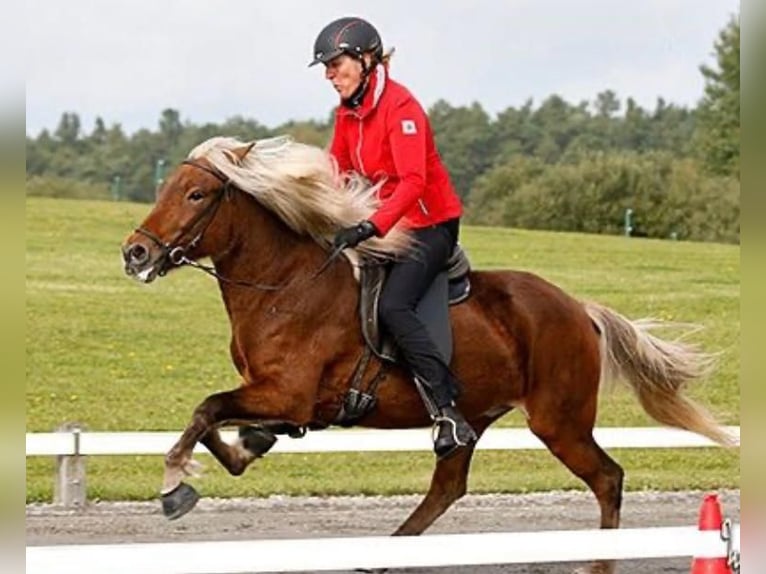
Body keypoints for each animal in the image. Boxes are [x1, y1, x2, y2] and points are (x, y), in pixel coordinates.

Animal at [121, 135, 733, 574]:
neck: (285, 284)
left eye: (196, 195)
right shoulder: (283, 403)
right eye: (167, 188)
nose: (136, 253)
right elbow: (221, 427)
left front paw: (175, 484)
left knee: (607, 479)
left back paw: (597, 564)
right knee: (447, 488)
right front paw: (237, 452)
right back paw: (386, 555)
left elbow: (206, 408)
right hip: (473, 417)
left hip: (559, 421)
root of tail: (578, 309)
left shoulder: (288, 396)